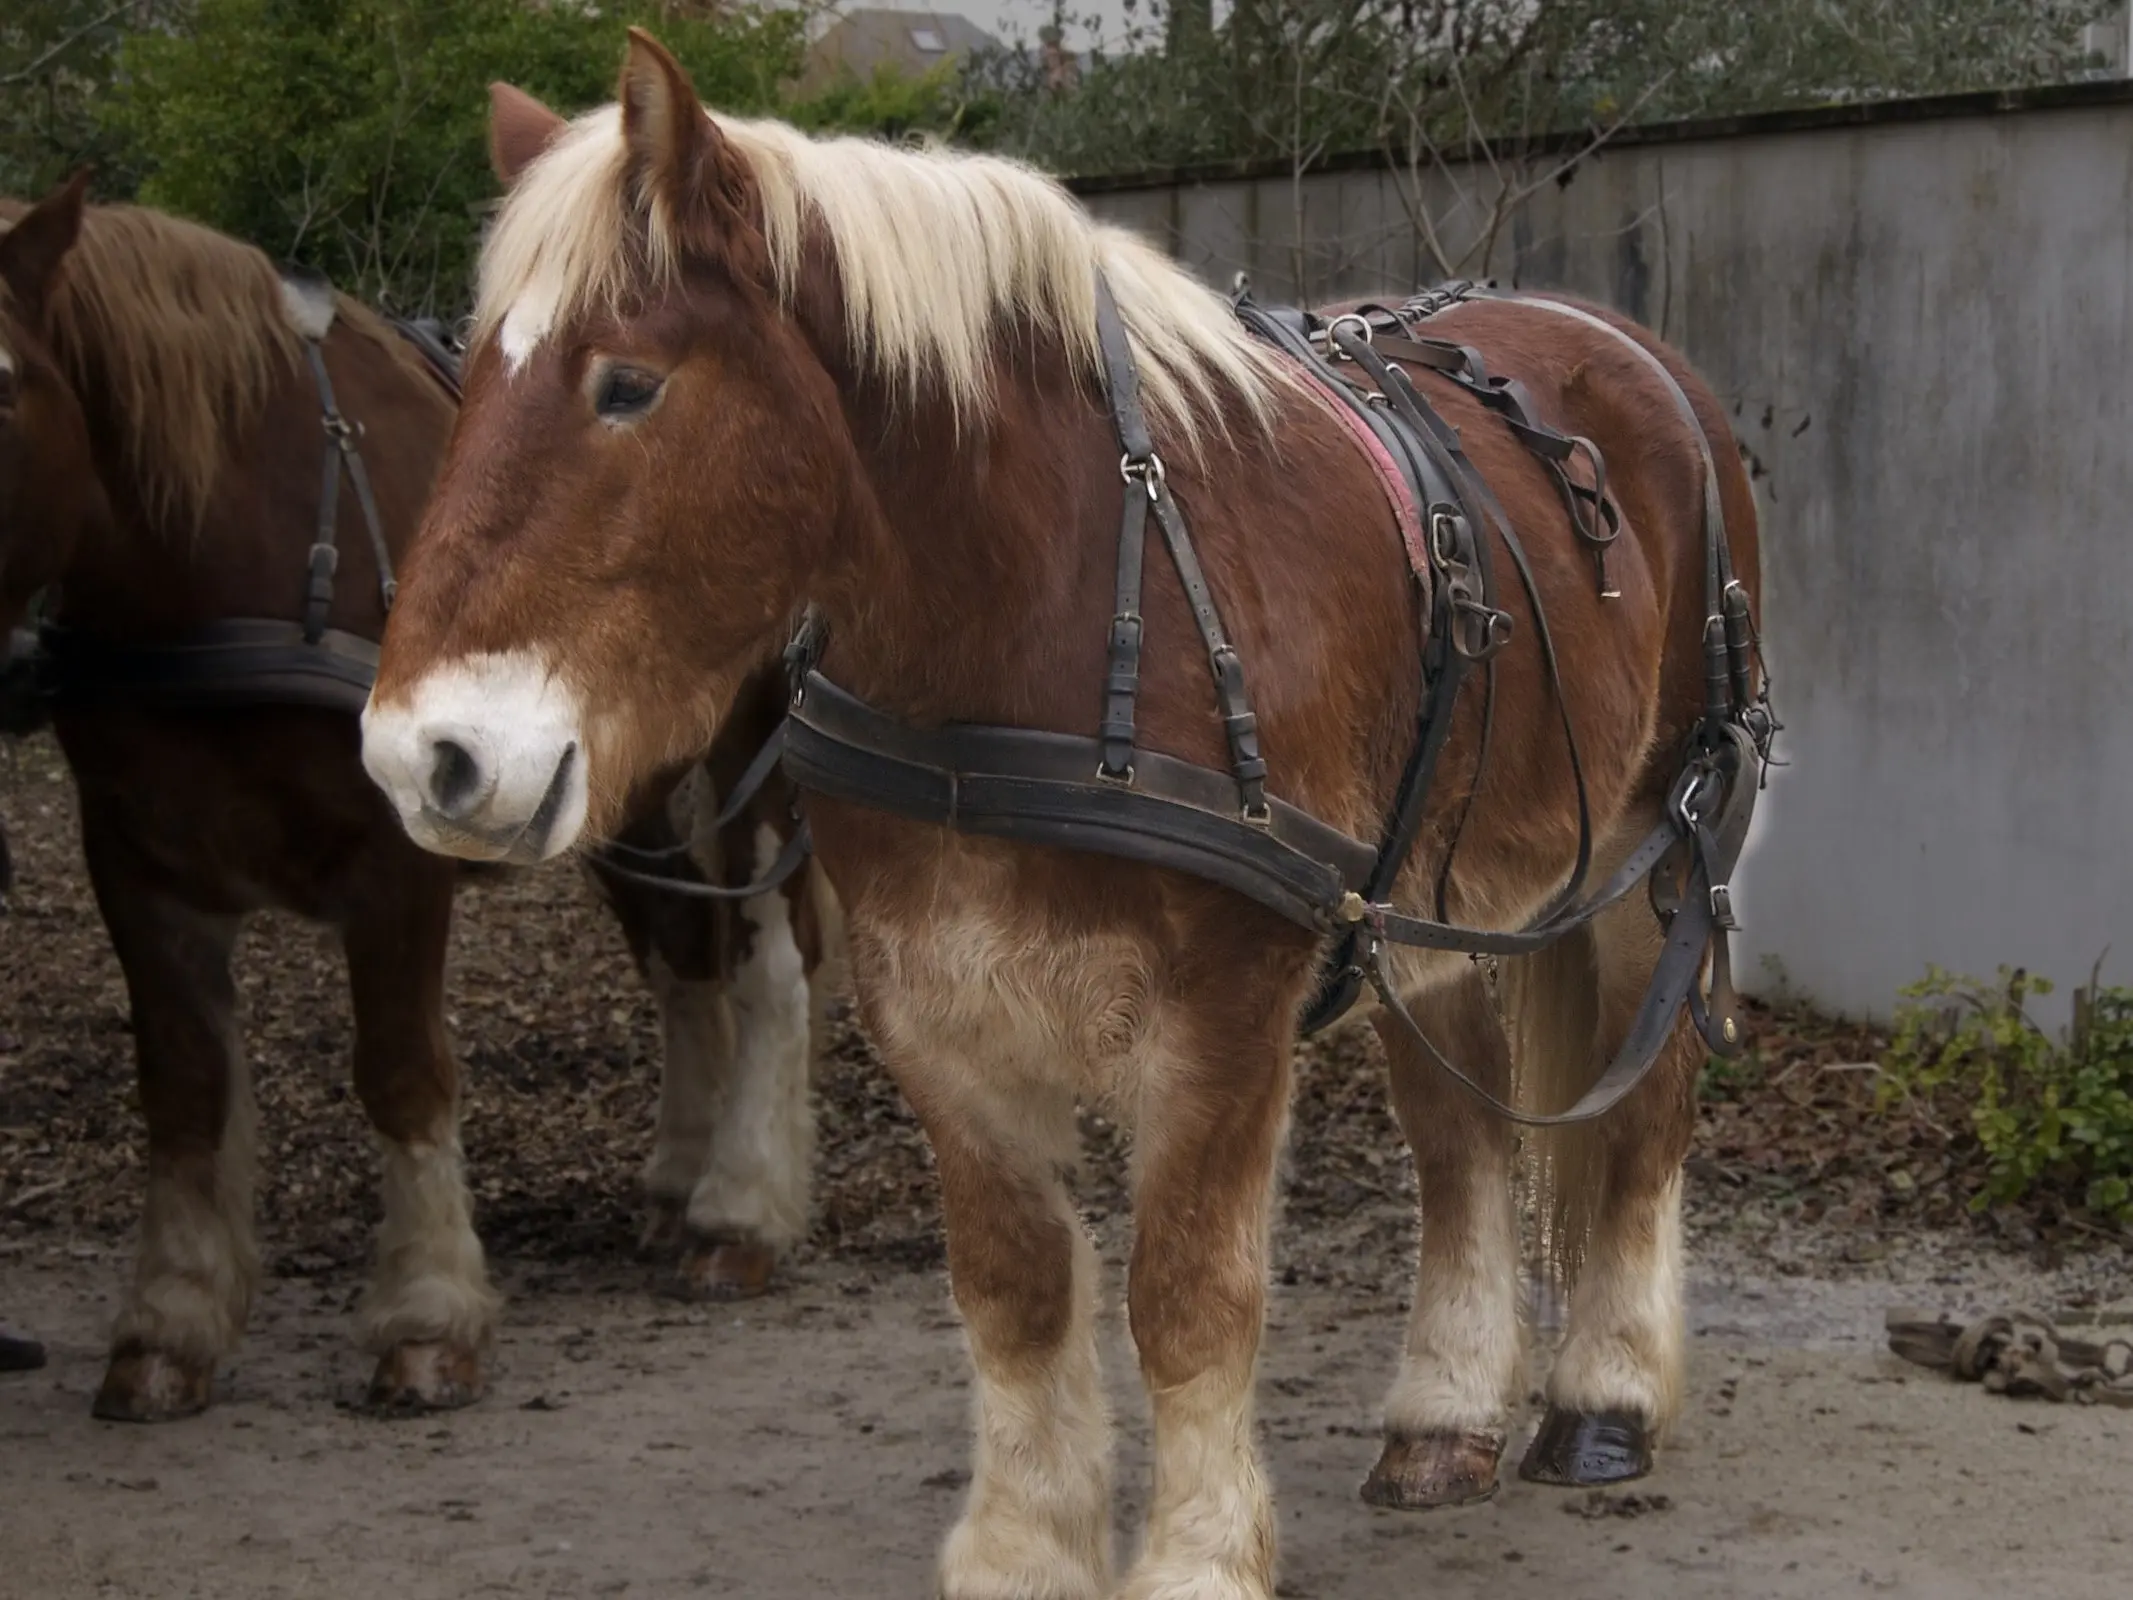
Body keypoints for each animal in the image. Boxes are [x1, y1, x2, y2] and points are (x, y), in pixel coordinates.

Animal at [0, 178, 831, 1425]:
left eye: (3, 386)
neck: (240, 543)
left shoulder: (391, 858)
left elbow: (401, 1073)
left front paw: (427, 1317)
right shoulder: (138, 866)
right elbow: (185, 1091)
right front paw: (170, 1323)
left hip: (748, 743)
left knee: (764, 953)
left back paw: (740, 1206)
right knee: (684, 946)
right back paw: (680, 1179)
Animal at [362, 37, 1766, 1600]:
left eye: (625, 385)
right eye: (470, 383)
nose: (426, 757)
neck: (1051, 603)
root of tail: (1633, 358)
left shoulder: (1221, 1018)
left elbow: (1188, 1296)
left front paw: (1199, 1554)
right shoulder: (936, 1010)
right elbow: (1017, 1292)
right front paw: (1025, 1549)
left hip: (1658, 858)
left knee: (1642, 1114)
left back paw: (1606, 1393)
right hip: (1441, 904)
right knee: (1458, 1142)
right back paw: (1446, 1413)